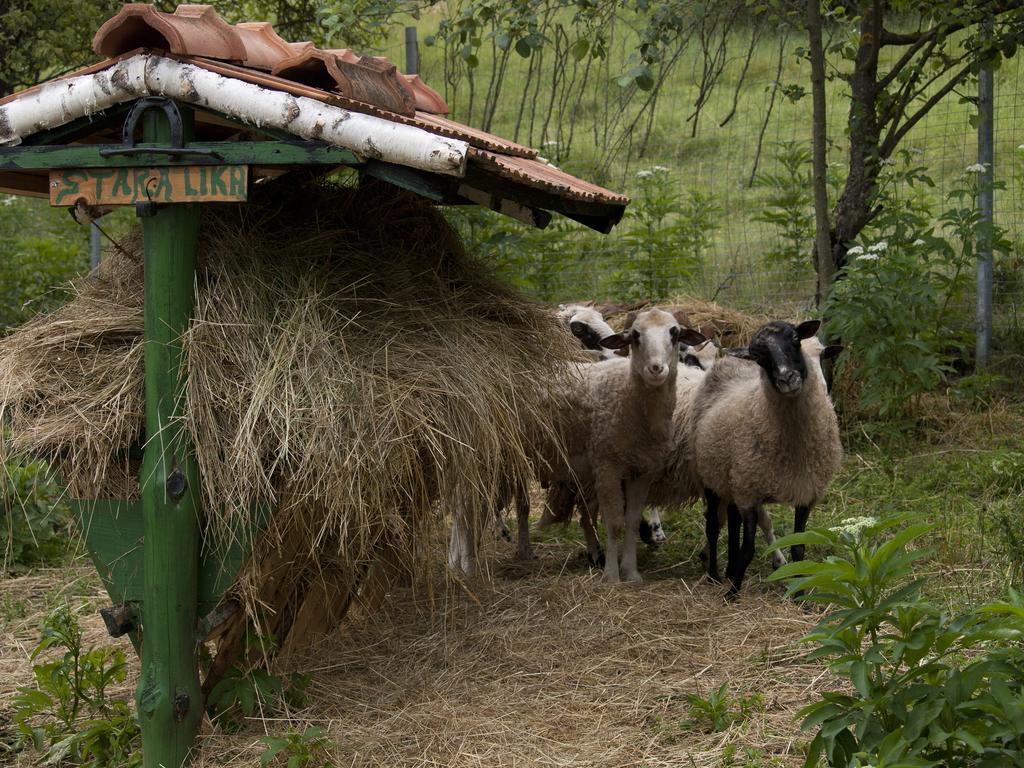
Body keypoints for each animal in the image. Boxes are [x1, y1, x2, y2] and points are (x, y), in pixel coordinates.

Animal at [688, 319, 847, 593]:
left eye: (795, 339)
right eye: (759, 356)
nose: (787, 378)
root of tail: (728, 362)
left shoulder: (806, 491)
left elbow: (798, 548)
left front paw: (799, 594)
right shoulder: (750, 494)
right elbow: (748, 550)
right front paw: (733, 593)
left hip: (733, 480)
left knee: (733, 521)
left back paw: (729, 570)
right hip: (712, 476)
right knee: (712, 525)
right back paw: (715, 574)